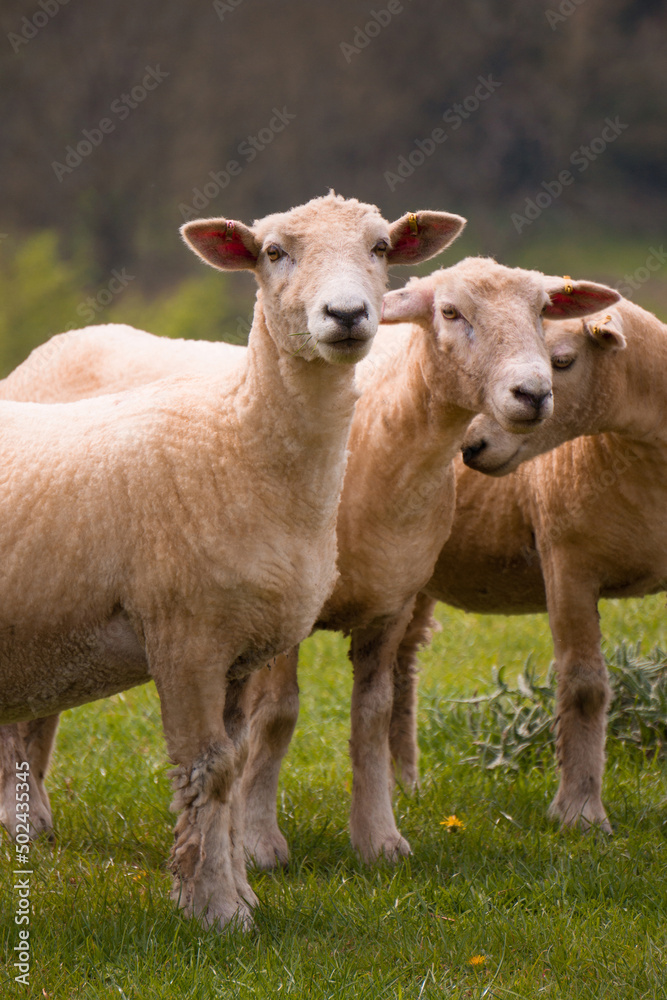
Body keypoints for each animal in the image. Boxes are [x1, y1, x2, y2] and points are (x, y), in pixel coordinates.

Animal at [0, 189, 464, 928]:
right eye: (274, 252)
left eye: (380, 248)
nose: (345, 316)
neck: (237, 440)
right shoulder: (184, 636)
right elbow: (208, 768)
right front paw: (215, 908)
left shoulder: (241, 649)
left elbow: (237, 761)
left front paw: (233, 890)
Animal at [2, 256, 620, 860]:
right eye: (450, 311)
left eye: (542, 312)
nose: (533, 394)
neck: (384, 444)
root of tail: (61, 343)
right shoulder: (281, 615)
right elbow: (276, 716)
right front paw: (257, 841)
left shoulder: (390, 605)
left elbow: (372, 715)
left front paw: (379, 839)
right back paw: (21, 816)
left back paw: (38, 816)